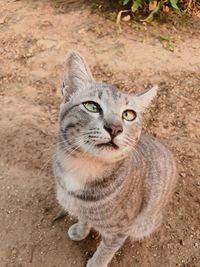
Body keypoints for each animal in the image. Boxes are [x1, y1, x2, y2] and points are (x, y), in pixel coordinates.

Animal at [52, 50, 177, 267]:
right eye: (92, 106)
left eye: (128, 115)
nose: (115, 128)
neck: (84, 166)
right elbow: (84, 219)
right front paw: (81, 231)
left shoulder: (120, 229)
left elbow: (106, 249)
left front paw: (96, 263)